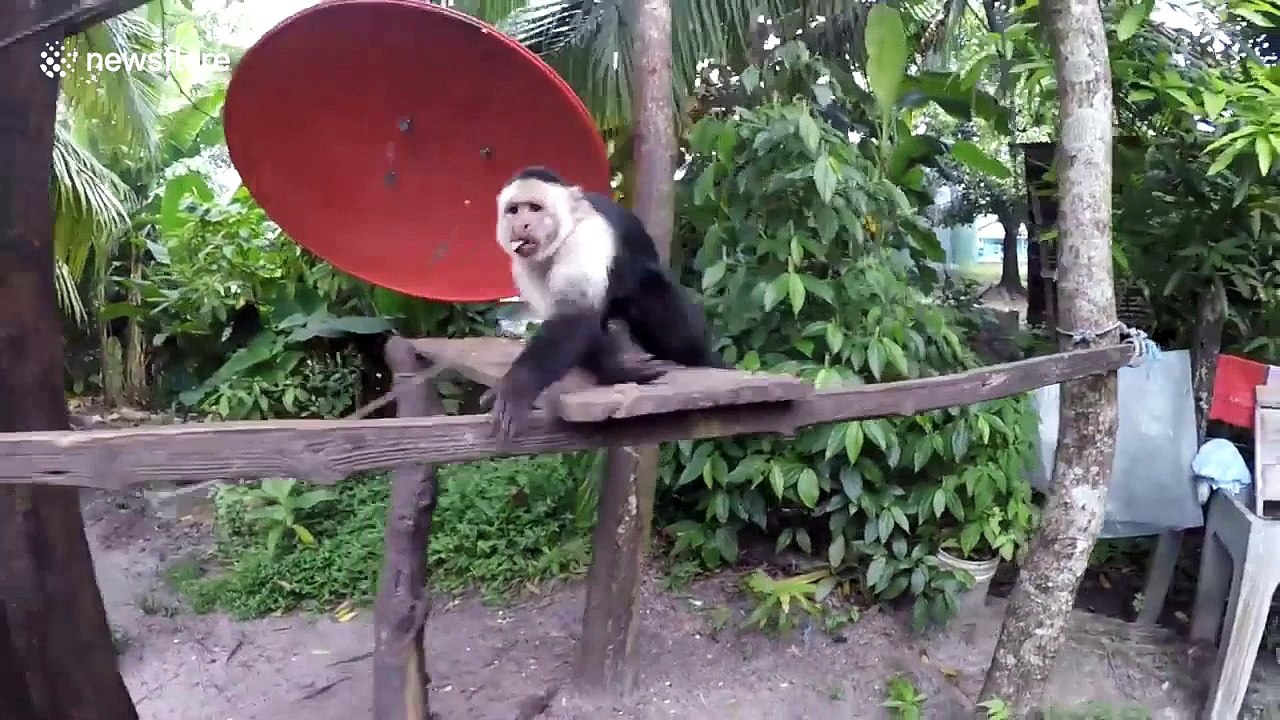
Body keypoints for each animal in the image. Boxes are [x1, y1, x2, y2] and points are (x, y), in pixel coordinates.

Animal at [487, 165, 726, 442]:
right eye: (513, 210)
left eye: (535, 208)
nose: (521, 224)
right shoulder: (524, 265)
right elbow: (576, 322)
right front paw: (616, 371)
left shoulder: (586, 235)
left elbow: (573, 317)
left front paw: (518, 386)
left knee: (653, 296)